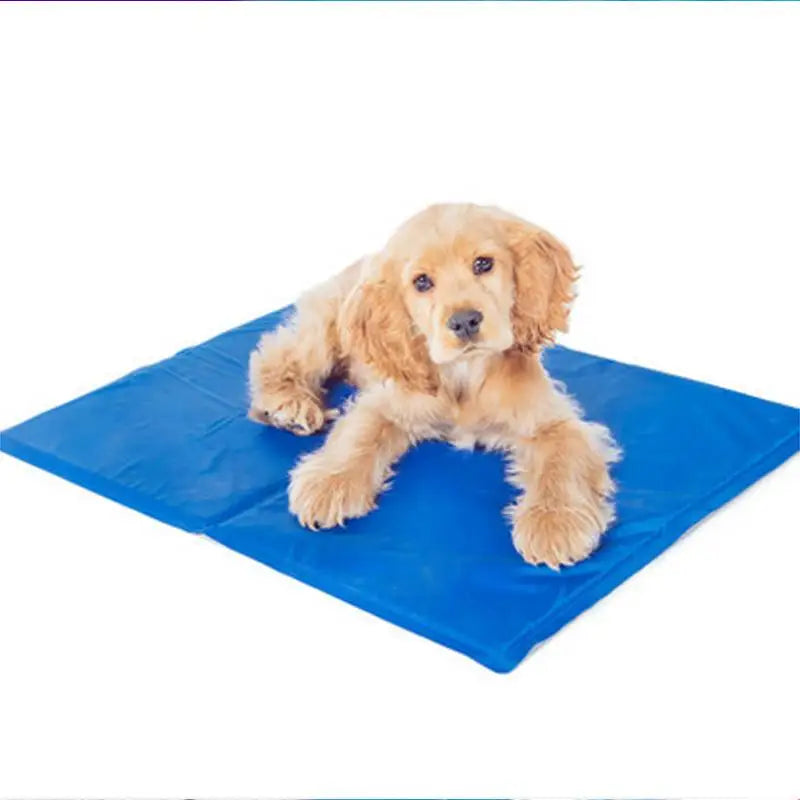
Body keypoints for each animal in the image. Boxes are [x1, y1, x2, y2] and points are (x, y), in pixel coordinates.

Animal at [248, 206, 620, 568]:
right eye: (422, 282)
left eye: (483, 264)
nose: (465, 321)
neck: (465, 375)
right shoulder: (386, 402)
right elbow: (358, 434)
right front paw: (328, 483)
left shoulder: (552, 420)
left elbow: (561, 460)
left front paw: (553, 521)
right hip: (323, 329)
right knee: (276, 353)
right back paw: (289, 406)